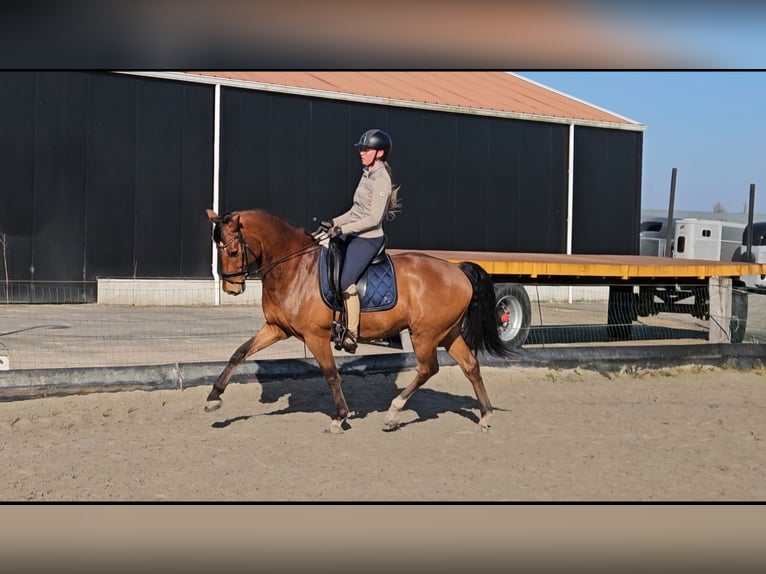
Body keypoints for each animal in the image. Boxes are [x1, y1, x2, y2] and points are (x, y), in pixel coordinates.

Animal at [204, 208, 512, 433]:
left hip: (425, 334)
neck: (295, 268)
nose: (231, 289)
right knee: (470, 365)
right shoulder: (276, 328)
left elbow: (331, 374)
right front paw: (214, 397)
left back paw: (393, 412)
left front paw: (339, 417)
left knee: (428, 368)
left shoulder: (315, 336)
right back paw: (485, 415)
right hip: (448, 333)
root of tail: (457, 270)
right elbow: (239, 353)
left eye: (232, 251)